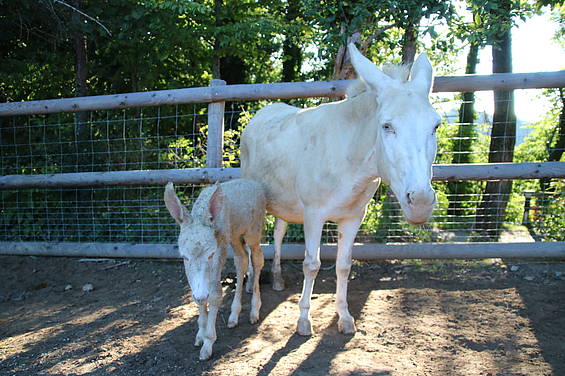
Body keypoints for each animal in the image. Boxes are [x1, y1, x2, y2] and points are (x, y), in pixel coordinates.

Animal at [164, 179, 266, 362]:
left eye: (210, 254)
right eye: (184, 257)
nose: (201, 295)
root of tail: (253, 182)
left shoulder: (220, 249)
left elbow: (216, 294)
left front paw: (208, 343)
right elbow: (198, 297)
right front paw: (200, 335)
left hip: (254, 228)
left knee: (257, 258)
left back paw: (254, 311)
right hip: (235, 234)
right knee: (241, 260)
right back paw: (234, 316)